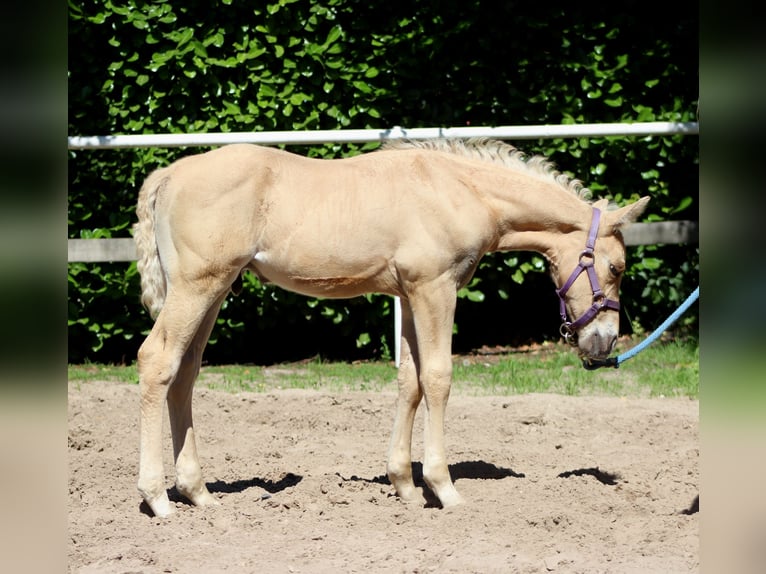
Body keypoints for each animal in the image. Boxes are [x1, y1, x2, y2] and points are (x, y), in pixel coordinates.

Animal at [133, 137, 649, 518]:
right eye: (617, 267)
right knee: (157, 361)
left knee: (185, 373)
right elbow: (438, 378)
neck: (460, 190)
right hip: (198, 287)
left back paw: (198, 492)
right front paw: (444, 488)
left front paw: (404, 484)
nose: (603, 343)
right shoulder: (435, 289)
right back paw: (157, 498)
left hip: (214, 291)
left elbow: (410, 382)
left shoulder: (407, 294)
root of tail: (169, 175)